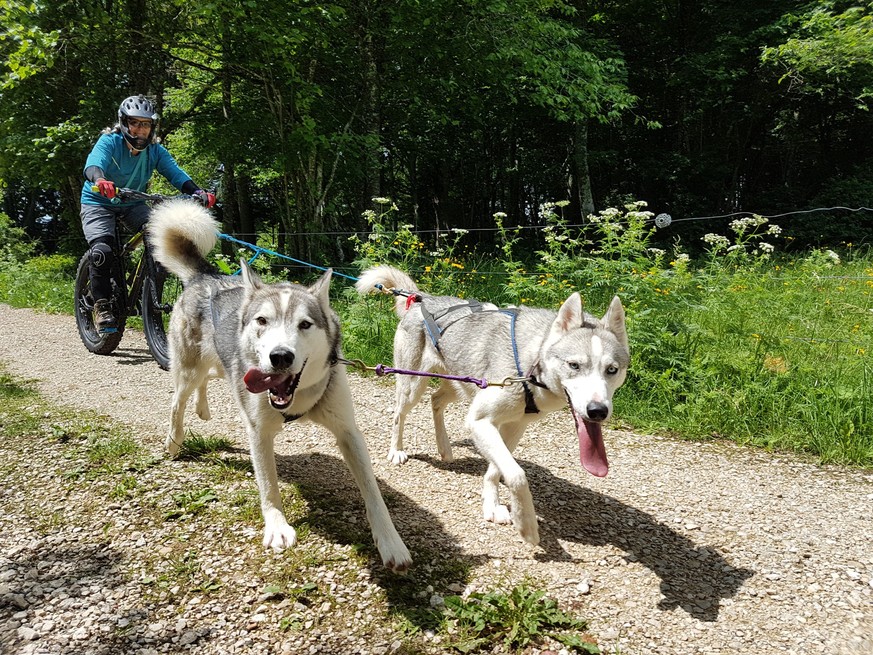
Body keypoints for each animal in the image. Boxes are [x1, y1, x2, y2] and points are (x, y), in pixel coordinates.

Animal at [148, 202, 410, 572]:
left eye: (305, 324)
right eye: (262, 321)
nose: (280, 356)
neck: (296, 398)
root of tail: (206, 276)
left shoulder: (348, 431)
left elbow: (373, 494)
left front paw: (390, 542)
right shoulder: (258, 430)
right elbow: (268, 485)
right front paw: (276, 527)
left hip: (220, 367)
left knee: (208, 381)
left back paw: (203, 408)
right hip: (188, 368)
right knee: (178, 401)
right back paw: (174, 441)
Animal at [354, 264, 628, 544]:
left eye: (612, 369)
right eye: (574, 365)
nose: (598, 411)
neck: (530, 366)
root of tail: (421, 298)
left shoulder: (514, 426)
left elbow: (497, 470)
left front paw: (492, 505)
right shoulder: (480, 422)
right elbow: (517, 475)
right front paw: (526, 523)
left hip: (462, 384)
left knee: (436, 400)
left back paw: (444, 447)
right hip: (414, 385)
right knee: (399, 413)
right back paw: (397, 449)